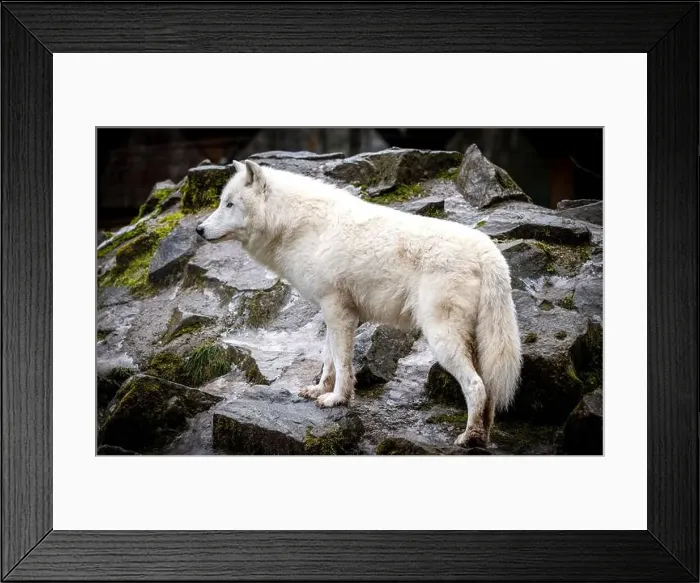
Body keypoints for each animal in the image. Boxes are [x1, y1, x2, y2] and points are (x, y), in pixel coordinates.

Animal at [196, 160, 522, 448]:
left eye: (229, 204)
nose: (199, 229)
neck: (295, 226)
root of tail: (489, 252)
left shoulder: (338, 310)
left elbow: (342, 362)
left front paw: (338, 399)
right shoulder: (330, 311)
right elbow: (328, 359)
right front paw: (319, 390)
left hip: (442, 339)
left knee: (476, 386)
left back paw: (468, 438)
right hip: (477, 343)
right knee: (489, 390)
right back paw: (482, 437)